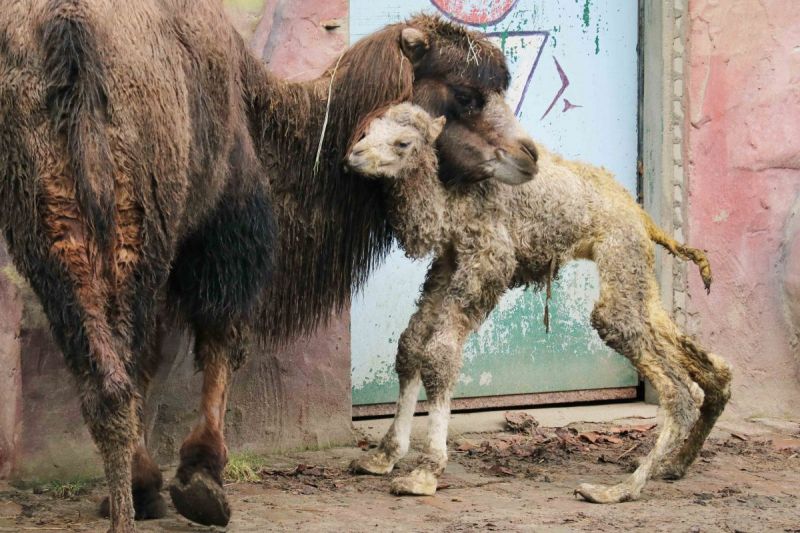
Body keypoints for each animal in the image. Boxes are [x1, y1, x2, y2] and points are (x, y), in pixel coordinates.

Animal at [346, 103, 732, 502]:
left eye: (402, 142)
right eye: (367, 131)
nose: (354, 156)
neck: (450, 204)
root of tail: (642, 214)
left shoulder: (489, 257)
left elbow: (439, 355)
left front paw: (425, 473)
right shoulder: (449, 259)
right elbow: (410, 345)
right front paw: (382, 457)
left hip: (619, 246)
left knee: (665, 377)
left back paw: (618, 489)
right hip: (636, 263)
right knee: (702, 360)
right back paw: (675, 464)